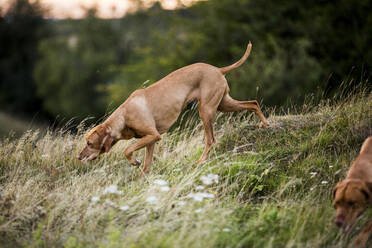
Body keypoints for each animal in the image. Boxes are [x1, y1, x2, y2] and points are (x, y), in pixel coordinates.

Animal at [77, 41, 268, 171]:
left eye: (90, 143)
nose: (78, 157)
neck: (123, 116)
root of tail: (218, 69)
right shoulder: (150, 140)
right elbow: (146, 165)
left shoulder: (153, 135)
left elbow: (128, 149)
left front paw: (134, 162)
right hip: (223, 104)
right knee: (253, 103)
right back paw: (264, 124)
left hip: (206, 110)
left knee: (211, 140)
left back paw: (201, 161)